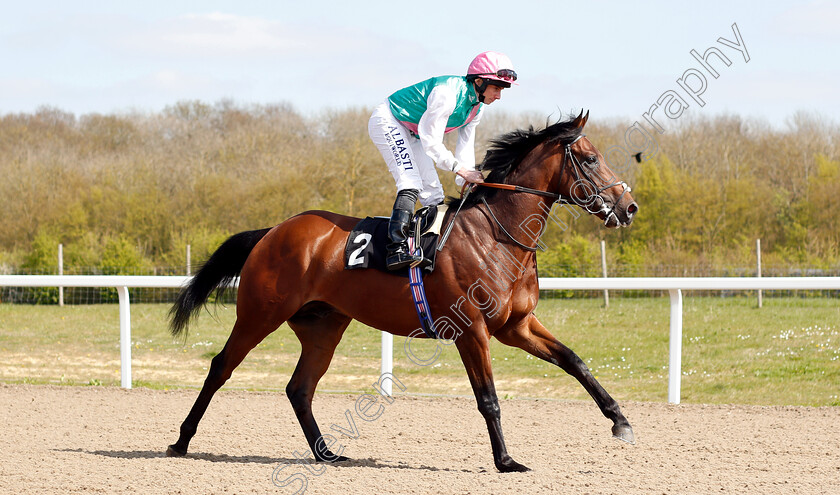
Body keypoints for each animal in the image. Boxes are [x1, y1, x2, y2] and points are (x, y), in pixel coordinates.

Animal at [164, 109, 636, 472]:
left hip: (323, 327)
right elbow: (489, 399)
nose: (628, 207)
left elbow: (574, 361)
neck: (496, 236)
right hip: (260, 313)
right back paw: (181, 441)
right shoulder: (472, 331)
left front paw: (620, 421)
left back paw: (326, 453)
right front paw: (506, 461)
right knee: (221, 367)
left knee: (299, 388)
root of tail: (273, 231)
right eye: (590, 159)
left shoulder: (516, 325)